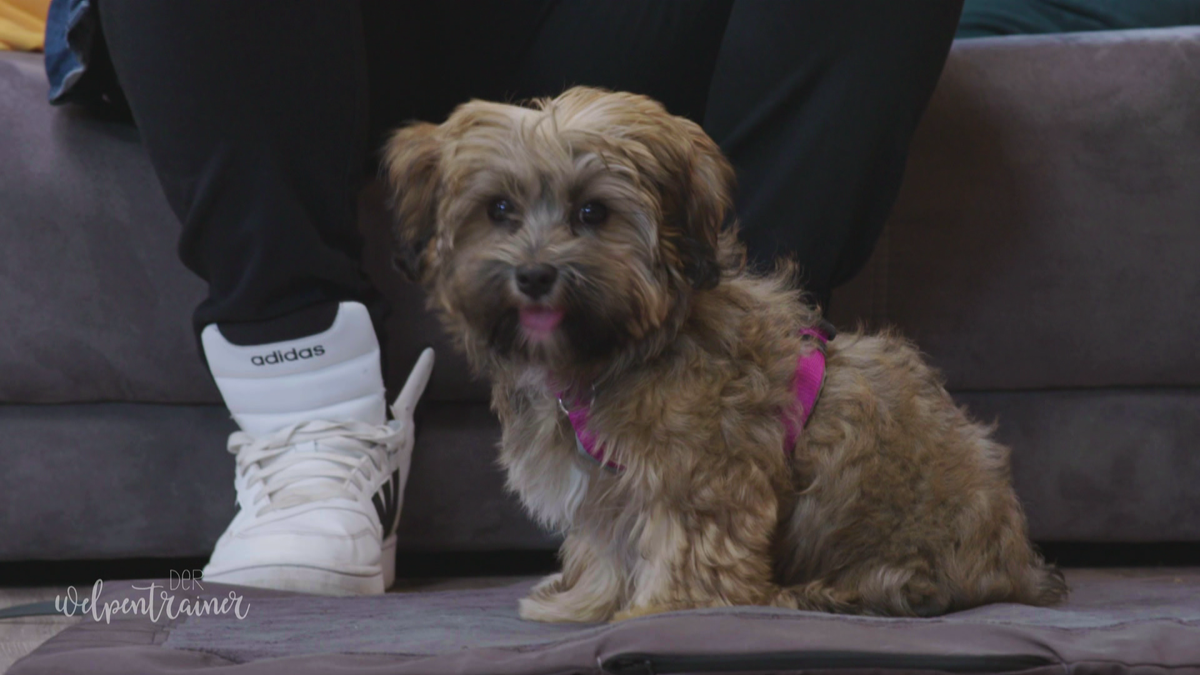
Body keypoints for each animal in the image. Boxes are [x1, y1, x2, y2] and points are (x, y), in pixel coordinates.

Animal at [384, 86, 1070, 619]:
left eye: (592, 212)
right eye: (499, 209)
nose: (533, 275)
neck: (626, 347)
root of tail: (1013, 565)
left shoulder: (700, 475)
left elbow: (687, 547)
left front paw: (664, 610)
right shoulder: (608, 486)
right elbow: (605, 547)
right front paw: (586, 603)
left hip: (894, 565)